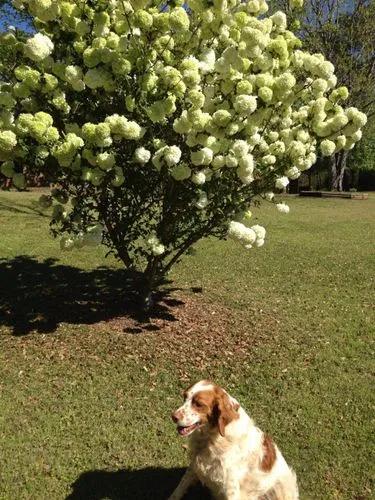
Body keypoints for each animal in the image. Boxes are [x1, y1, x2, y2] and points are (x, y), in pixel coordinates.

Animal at [170, 380, 300, 498]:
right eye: (184, 397)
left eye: (198, 404)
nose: (173, 416)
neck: (212, 438)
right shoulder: (194, 466)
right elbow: (179, 489)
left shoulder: (230, 488)